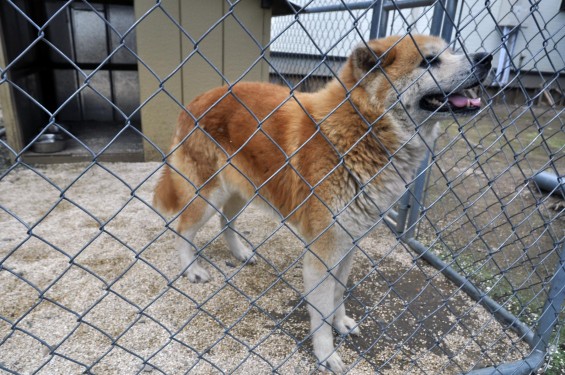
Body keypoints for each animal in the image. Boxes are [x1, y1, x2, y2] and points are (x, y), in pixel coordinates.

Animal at [153, 36, 490, 374]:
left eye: (449, 51)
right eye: (429, 60)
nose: (485, 58)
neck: (360, 132)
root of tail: (198, 99)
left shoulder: (348, 244)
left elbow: (339, 293)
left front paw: (341, 323)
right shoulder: (322, 253)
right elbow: (322, 310)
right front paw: (326, 353)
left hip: (242, 191)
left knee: (226, 221)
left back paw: (240, 253)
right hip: (208, 195)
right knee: (183, 229)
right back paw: (192, 269)